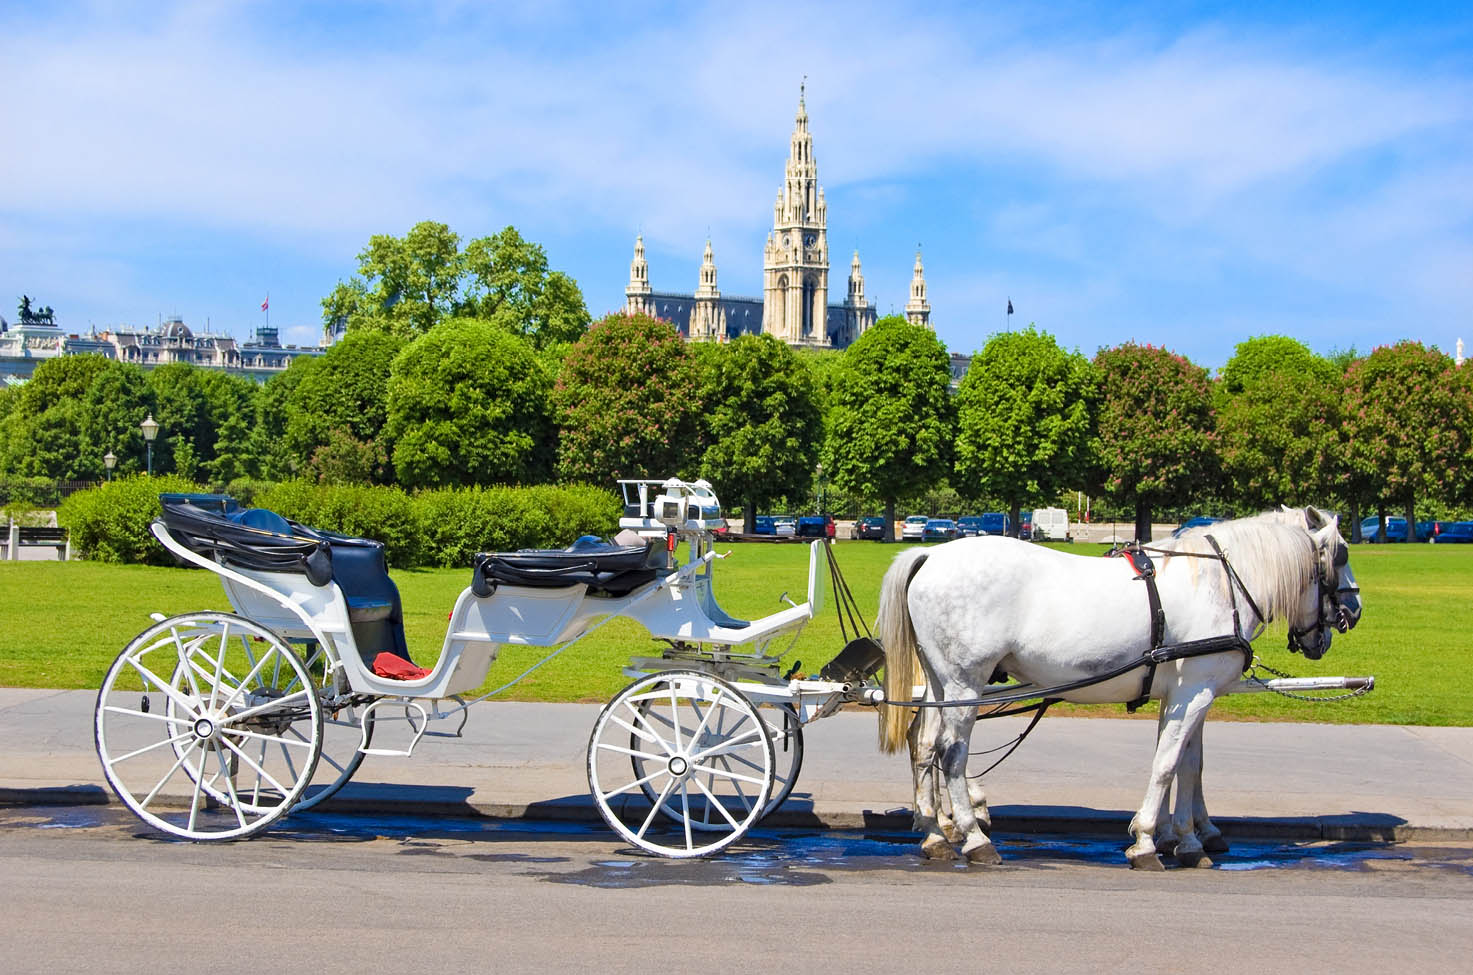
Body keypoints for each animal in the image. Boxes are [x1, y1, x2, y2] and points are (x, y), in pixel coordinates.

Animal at [877, 506, 1361, 866]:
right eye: (1340, 555)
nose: (1352, 612)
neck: (1221, 584)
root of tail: (932, 556)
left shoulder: (1186, 695)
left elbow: (1188, 765)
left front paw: (1184, 836)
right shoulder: (1194, 693)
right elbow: (1168, 764)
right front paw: (1150, 839)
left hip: (942, 682)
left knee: (926, 744)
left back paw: (936, 832)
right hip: (966, 681)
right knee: (951, 753)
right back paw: (974, 837)